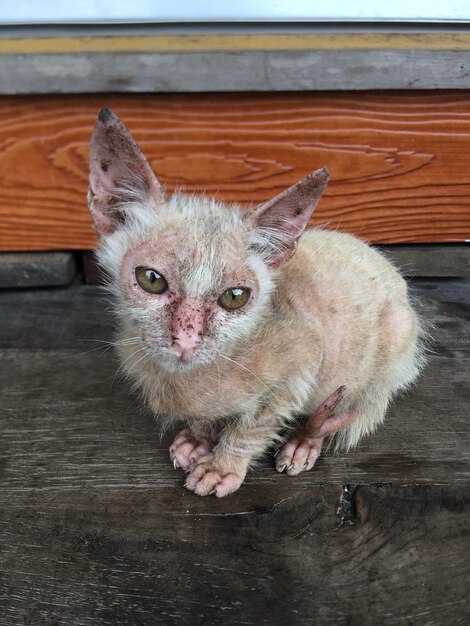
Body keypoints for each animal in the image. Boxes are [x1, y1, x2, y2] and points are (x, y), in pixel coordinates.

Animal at [88, 108, 426, 498]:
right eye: (151, 279)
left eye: (234, 297)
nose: (186, 341)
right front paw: (199, 438)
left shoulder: (304, 356)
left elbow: (257, 424)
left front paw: (221, 466)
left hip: (398, 335)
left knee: (361, 404)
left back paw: (304, 441)